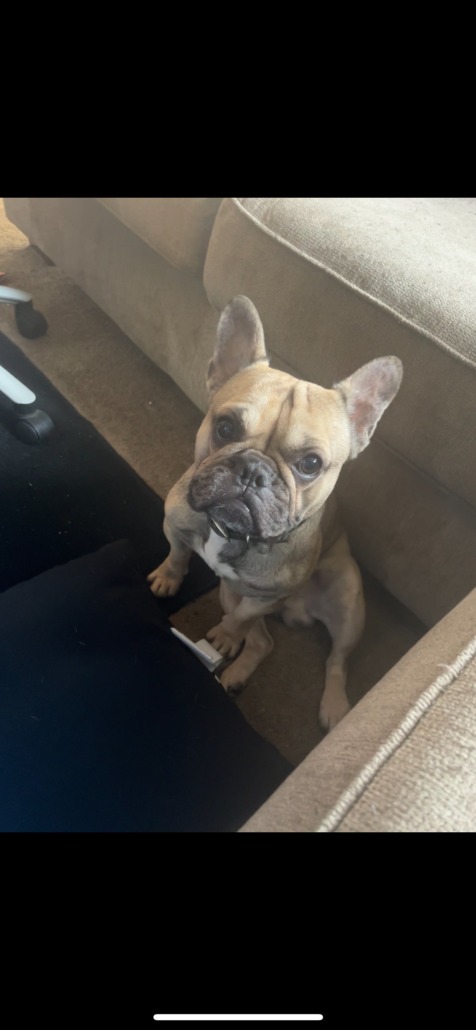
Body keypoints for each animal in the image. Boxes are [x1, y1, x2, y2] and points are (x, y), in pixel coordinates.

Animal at [148, 296, 402, 730]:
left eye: (311, 463)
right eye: (225, 427)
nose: (253, 471)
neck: (230, 531)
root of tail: (296, 613)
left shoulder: (266, 595)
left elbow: (241, 619)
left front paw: (225, 636)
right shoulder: (176, 526)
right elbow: (178, 556)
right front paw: (168, 579)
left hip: (349, 602)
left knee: (336, 660)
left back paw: (334, 706)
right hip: (229, 591)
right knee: (264, 642)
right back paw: (236, 673)